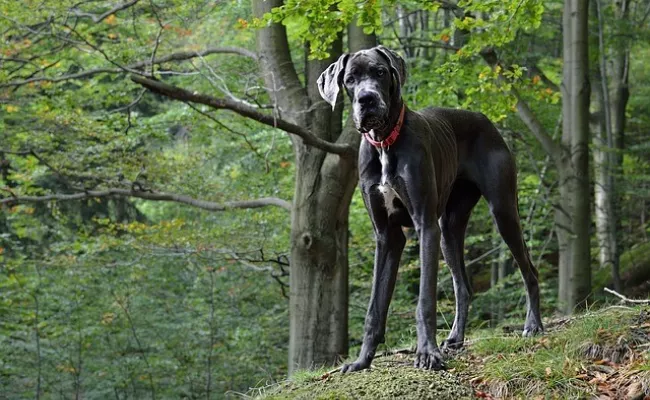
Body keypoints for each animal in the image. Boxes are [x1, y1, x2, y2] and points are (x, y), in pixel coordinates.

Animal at [316, 46, 540, 372]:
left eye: (380, 72)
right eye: (350, 79)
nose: (367, 99)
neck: (385, 143)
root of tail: (484, 118)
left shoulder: (425, 225)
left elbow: (424, 301)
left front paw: (427, 353)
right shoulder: (387, 236)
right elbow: (374, 307)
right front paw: (361, 360)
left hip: (502, 211)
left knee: (529, 270)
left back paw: (533, 325)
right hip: (449, 230)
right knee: (463, 286)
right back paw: (456, 338)